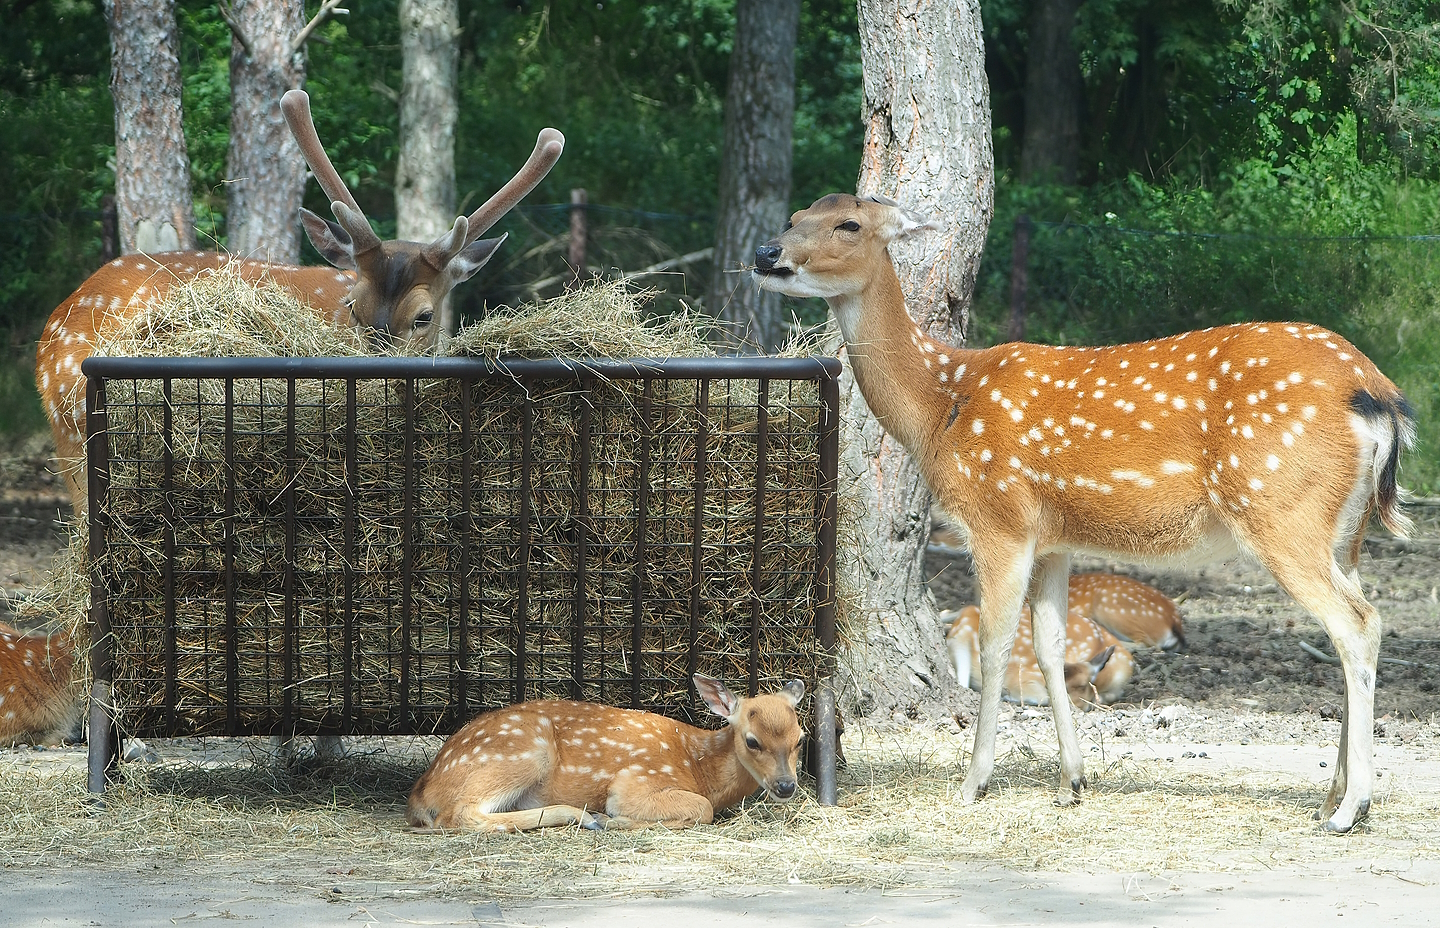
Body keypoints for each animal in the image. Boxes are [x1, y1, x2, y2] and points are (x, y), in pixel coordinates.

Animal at [406, 674, 806, 832]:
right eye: (752, 741)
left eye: (800, 738)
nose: (786, 786)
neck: (699, 764)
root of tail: (423, 788)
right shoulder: (635, 781)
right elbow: (702, 809)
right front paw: (615, 819)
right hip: (523, 752)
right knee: (459, 814)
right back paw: (587, 817)